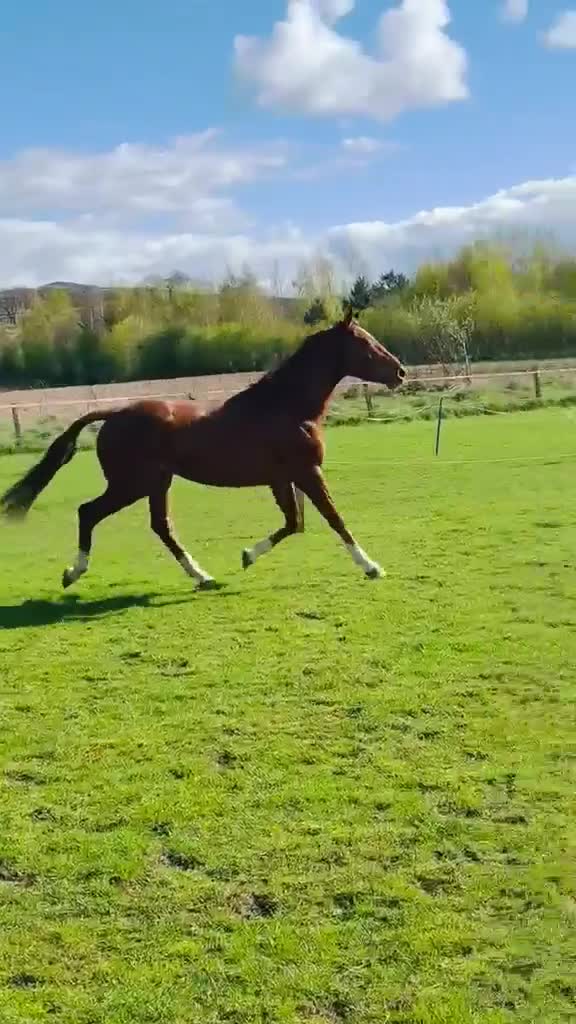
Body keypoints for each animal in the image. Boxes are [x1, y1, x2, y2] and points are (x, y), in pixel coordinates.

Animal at [0, 308, 406, 589]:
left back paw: (202, 576)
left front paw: (247, 556)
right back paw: (73, 572)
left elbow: (294, 523)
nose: (400, 373)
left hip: (156, 483)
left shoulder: (281, 478)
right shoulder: (307, 473)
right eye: (366, 344)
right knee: (89, 512)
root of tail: (113, 414)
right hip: (132, 484)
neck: (287, 407)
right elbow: (334, 520)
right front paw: (372, 567)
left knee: (160, 526)